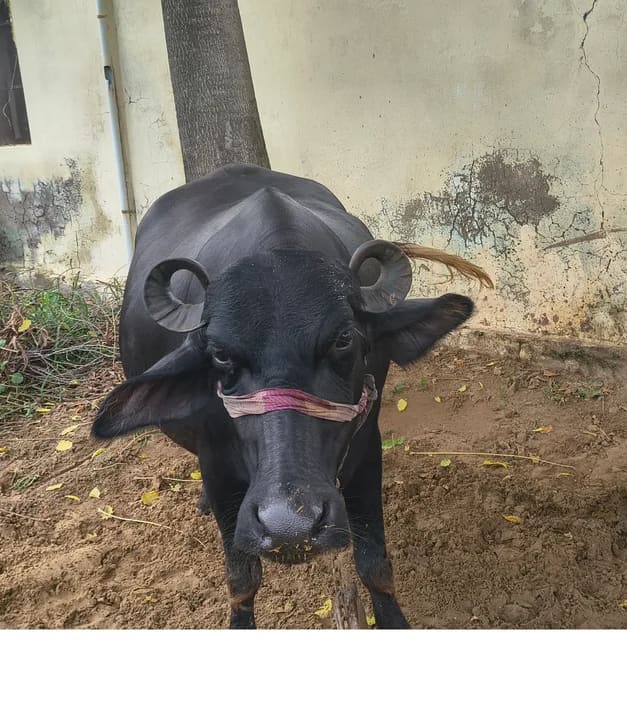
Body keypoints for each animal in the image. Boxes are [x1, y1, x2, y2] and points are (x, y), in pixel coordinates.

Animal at [93, 164, 490, 628]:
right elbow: (242, 579)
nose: (289, 528)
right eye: (220, 354)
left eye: (344, 340)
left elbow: (374, 564)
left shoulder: (367, 446)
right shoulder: (219, 468)